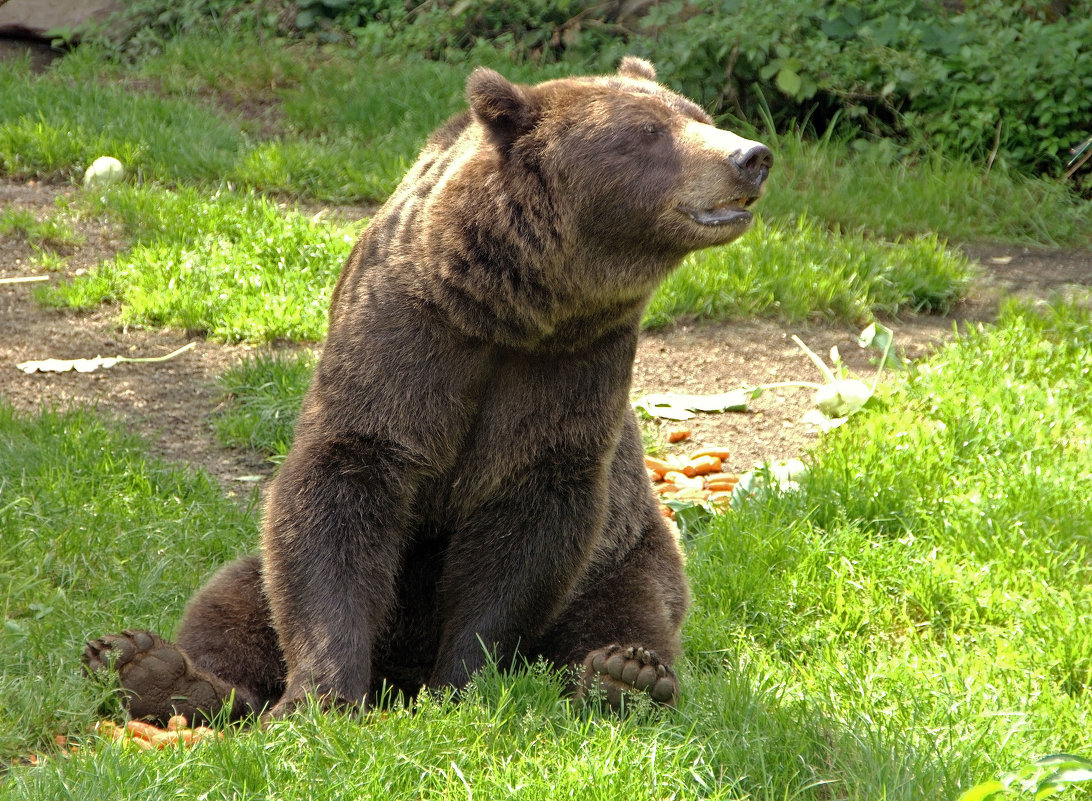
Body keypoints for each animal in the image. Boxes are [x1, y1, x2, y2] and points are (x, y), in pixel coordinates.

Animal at [82, 54, 768, 720]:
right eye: (649, 132)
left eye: (697, 114)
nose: (751, 156)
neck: (508, 309)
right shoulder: (404, 342)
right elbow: (336, 496)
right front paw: (321, 697)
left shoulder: (575, 365)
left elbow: (530, 522)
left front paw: (460, 683)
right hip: (258, 576)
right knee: (235, 601)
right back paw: (151, 669)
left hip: (629, 552)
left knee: (631, 607)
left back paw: (623, 676)